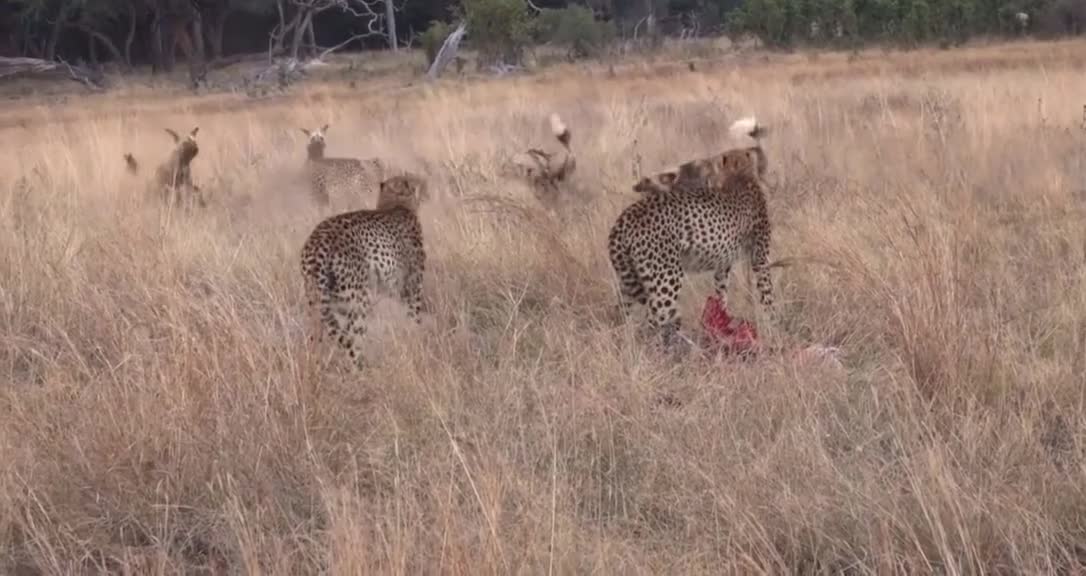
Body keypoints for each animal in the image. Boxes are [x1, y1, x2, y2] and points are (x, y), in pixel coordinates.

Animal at [301, 172, 432, 365]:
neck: (396, 204)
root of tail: (317, 241)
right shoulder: (412, 287)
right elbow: (414, 318)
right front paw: (416, 343)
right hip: (358, 302)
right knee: (351, 342)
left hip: (317, 305)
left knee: (315, 336)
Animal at [608, 117, 777, 345]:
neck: (739, 175)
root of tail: (626, 216)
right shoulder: (759, 256)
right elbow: (767, 294)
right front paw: (773, 325)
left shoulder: (723, 264)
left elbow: (721, 291)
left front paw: (722, 319)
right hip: (666, 280)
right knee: (654, 321)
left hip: (629, 282)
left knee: (622, 315)